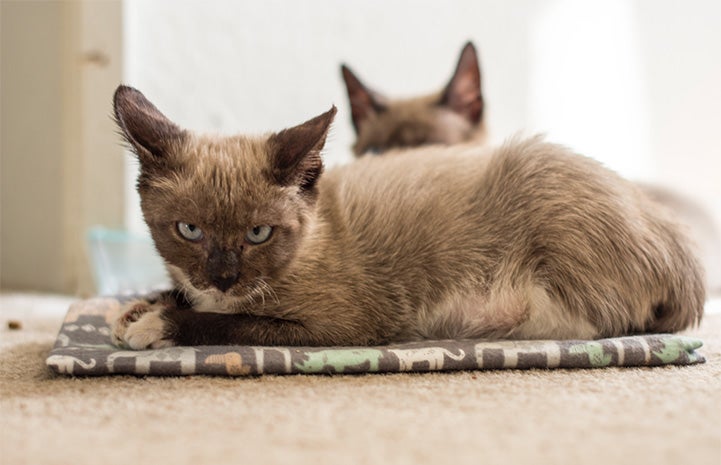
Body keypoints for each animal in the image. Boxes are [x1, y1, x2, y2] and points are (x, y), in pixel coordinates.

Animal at [111, 84, 704, 348]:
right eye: (189, 231)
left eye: (259, 234)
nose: (223, 276)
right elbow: (180, 294)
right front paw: (139, 308)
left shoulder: (338, 326)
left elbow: (228, 324)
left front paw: (152, 325)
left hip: (532, 192)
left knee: (591, 322)